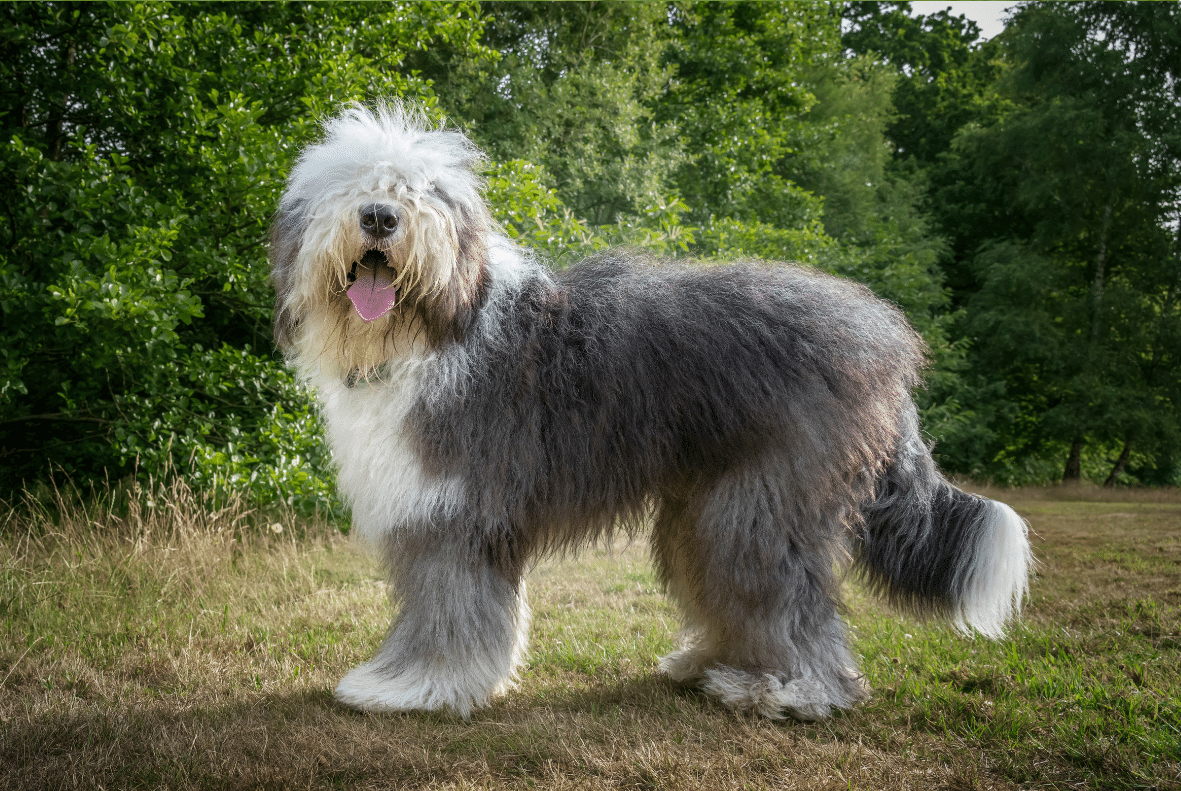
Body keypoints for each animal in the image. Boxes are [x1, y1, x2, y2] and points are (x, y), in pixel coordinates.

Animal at [270, 102, 1034, 722]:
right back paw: (716, 665)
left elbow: (447, 608)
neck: (433, 331)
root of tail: (883, 343)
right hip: (710, 499)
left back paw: (794, 691)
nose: (379, 216)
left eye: (421, 193)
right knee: (729, 585)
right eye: (348, 186)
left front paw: (413, 688)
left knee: (786, 597)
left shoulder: (453, 513)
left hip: (765, 501)